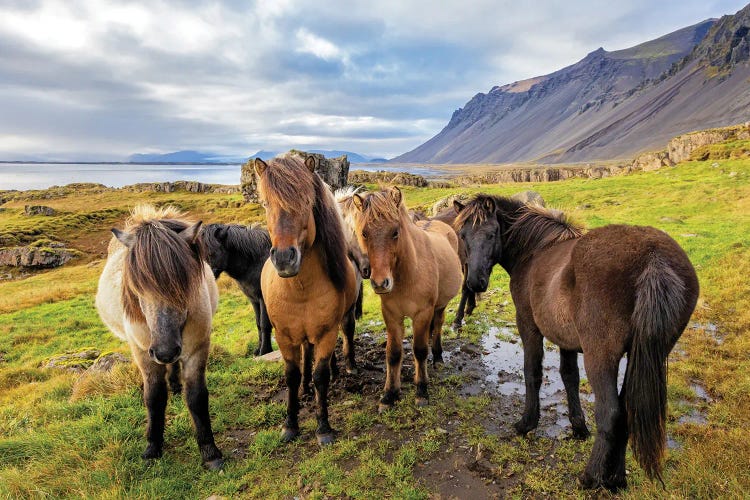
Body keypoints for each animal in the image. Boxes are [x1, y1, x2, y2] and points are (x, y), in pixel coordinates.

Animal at [95, 203, 223, 468]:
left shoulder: (197, 348)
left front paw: (209, 451)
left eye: (183, 285)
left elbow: (196, 397)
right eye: (136, 287)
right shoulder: (144, 352)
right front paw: (152, 447)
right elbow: (154, 397)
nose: (165, 351)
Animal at [203, 223, 276, 356]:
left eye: (211, 253)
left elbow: (264, 324)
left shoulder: (263, 299)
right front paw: (258, 350)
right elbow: (258, 324)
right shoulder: (254, 300)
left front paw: (265, 350)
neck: (254, 261)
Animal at [352, 187, 464, 410]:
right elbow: (393, 353)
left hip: (440, 305)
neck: (409, 273)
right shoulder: (391, 315)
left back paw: (438, 357)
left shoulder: (422, 313)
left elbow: (419, 350)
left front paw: (421, 391)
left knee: (438, 325)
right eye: (365, 233)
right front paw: (389, 394)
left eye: (395, 232)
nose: (380, 283)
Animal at [456, 193, 704, 490]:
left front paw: (527, 423)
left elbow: (533, 373)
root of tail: (652, 257)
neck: (535, 250)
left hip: (601, 357)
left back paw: (591, 476)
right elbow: (569, 377)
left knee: (611, 413)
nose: (475, 282)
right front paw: (578, 427)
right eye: (462, 235)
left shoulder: (528, 326)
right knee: (625, 411)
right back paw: (615, 479)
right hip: (644, 355)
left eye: (492, 233)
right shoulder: (567, 341)